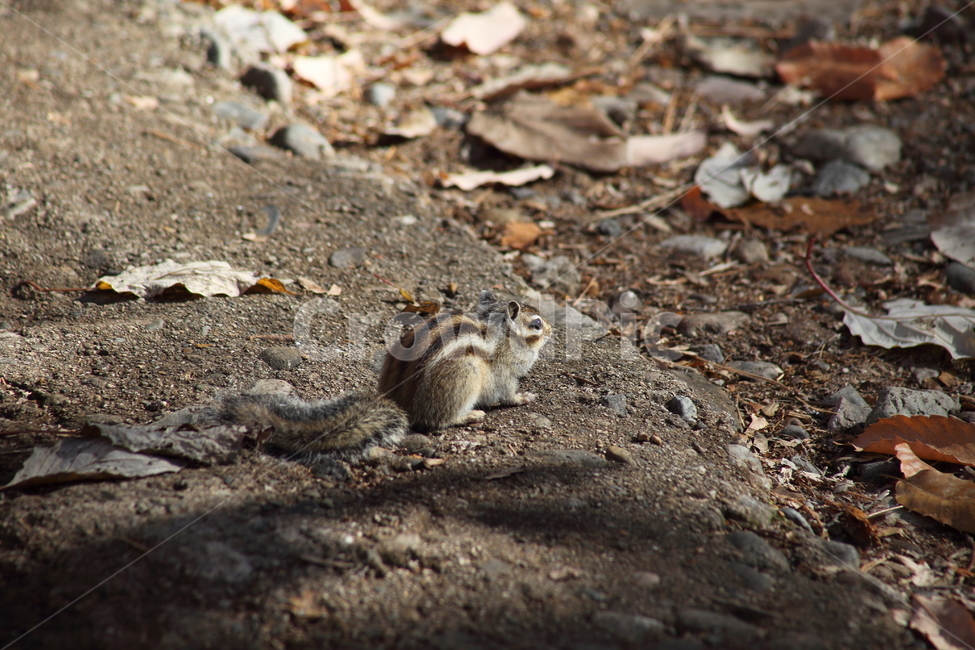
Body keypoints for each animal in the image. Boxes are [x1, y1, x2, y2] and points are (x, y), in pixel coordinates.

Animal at [221, 290, 552, 461]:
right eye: (536, 323)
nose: (551, 330)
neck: (498, 334)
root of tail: (399, 405)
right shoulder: (503, 372)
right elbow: (506, 394)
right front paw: (524, 397)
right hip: (464, 373)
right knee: (438, 420)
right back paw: (470, 416)